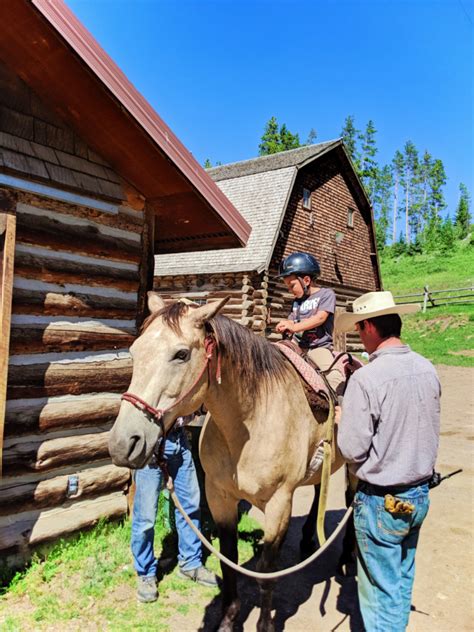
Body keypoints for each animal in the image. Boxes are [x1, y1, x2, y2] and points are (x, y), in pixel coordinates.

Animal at [109, 296, 350, 632]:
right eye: (134, 352)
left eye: (181, 354)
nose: (123, 443)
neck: (252, 418)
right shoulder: (219, 497)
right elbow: (229, 561)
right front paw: (227, 620)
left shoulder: (279, 505)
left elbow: (267, 573)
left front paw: (264, 625)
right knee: (318, 492)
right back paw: (306, 540)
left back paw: (347, 558)